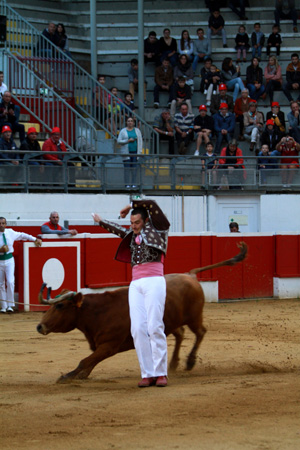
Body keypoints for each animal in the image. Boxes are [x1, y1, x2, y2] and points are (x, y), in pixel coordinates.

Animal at [37, 243, 246, 384]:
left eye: (60, 306)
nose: (40, 326)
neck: (98, 312)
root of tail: (190, 275)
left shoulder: (109, 345)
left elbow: (85, 361)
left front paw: (66, 376)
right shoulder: (102, 345)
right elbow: (89, 362)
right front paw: (79, 375)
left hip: (194, 317)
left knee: (200, 332)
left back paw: (189, 362)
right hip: (172, 321)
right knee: (180, 334)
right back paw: (173, 364)